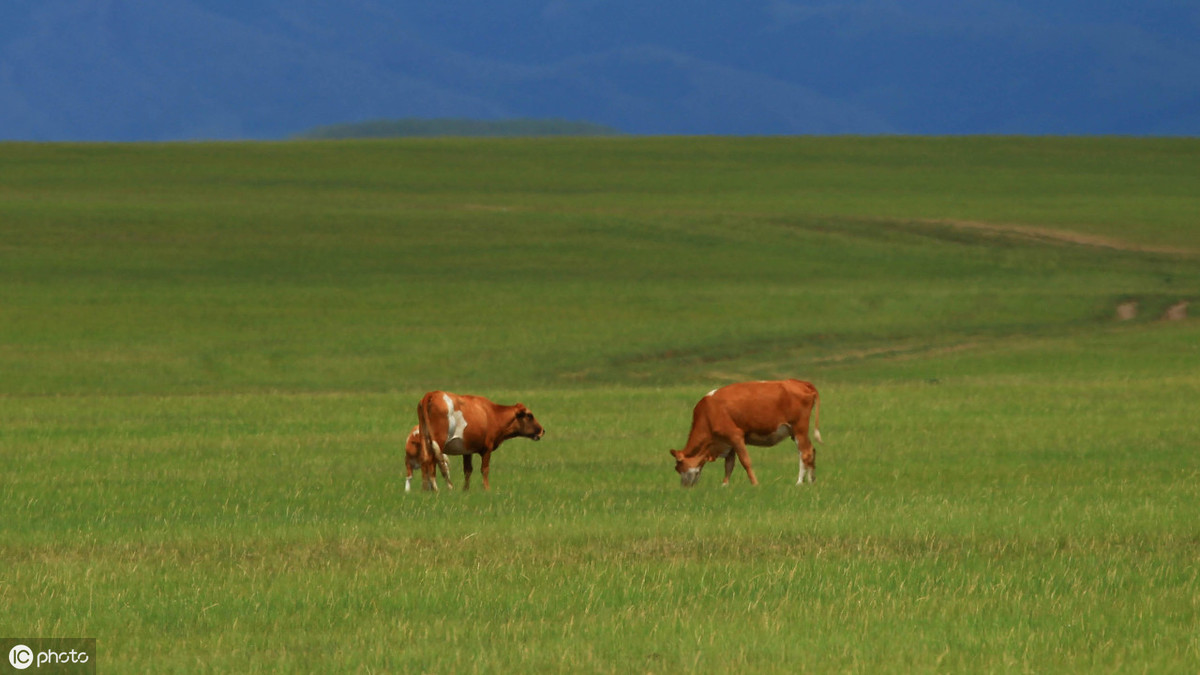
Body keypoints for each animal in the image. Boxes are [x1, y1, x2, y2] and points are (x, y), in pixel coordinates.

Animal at [412, 389, 544, 487]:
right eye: (529, 415)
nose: (543, 431)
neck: (493, 414)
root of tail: (432, 393)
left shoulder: (466, 450)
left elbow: (467, 470)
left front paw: (465, 490)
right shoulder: (487, 448)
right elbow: (484, 470)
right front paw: (487, 489)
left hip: (425, 439)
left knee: (425, 461)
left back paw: (426, 490)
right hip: (438, 441)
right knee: (432, 462)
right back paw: (437, 489)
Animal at [672, 379, 820, 482]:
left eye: (679, 467)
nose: (684, 486)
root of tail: (799, 382)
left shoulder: (735, 436)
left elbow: (745, 462)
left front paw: (755, 484)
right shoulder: (728, 442)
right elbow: (729, 465)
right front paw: (724, 485)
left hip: (799, 429)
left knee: (805, 453)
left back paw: (799, 483)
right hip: (794, 432)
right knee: (810, 451)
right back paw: (811, 481)